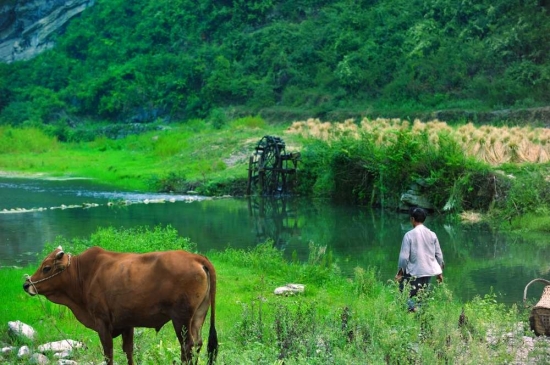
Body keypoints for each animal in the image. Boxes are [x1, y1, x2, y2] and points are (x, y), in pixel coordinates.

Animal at [23, 246, 218, 362]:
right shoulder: (127, 324)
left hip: (181, 319)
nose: (26, 285)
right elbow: (128, 351)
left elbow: (108, 353)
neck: (84, 275)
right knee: (198, 343)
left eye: (46, 268)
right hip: (199, 315)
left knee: (187, 347)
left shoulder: (102, 322)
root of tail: (196, 257)